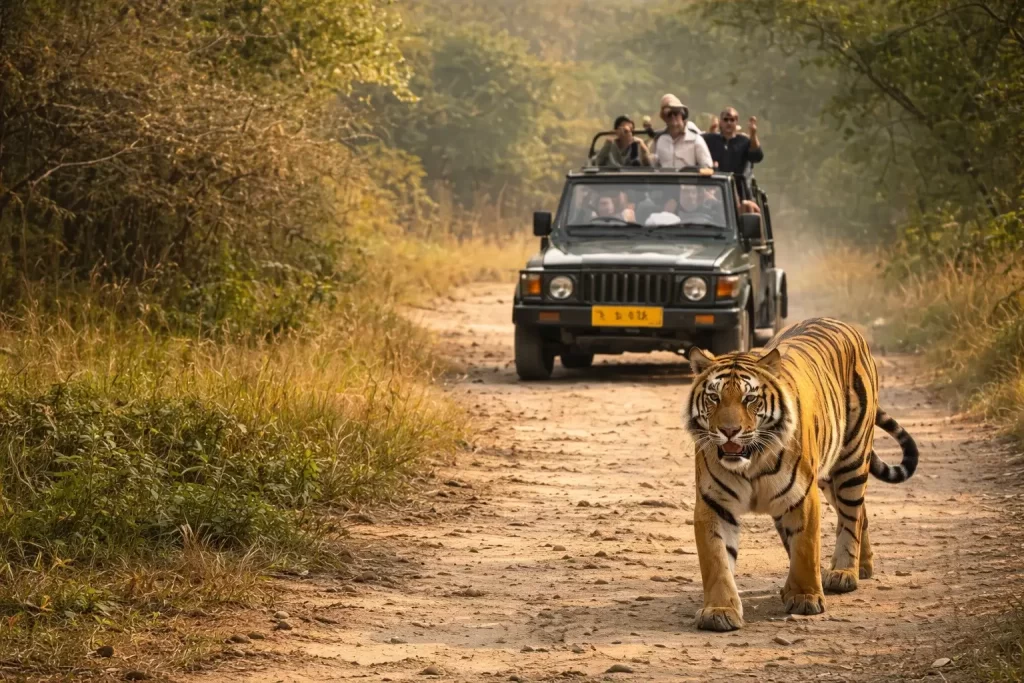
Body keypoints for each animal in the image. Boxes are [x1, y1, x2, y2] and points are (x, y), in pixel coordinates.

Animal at [684, 317, 919, 632]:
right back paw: (863, 565)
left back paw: (845, 572)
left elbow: (805, 547)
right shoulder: (714, 503)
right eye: (713, 397)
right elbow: (716, 560)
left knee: (852, 517)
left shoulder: (802, 495)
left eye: (750, 399)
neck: (751, 461)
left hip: (851, 460)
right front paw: (719, 610)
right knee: (860, 514)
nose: (729, 431)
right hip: (829, 476)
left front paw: (806, 597)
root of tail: (839, 322)